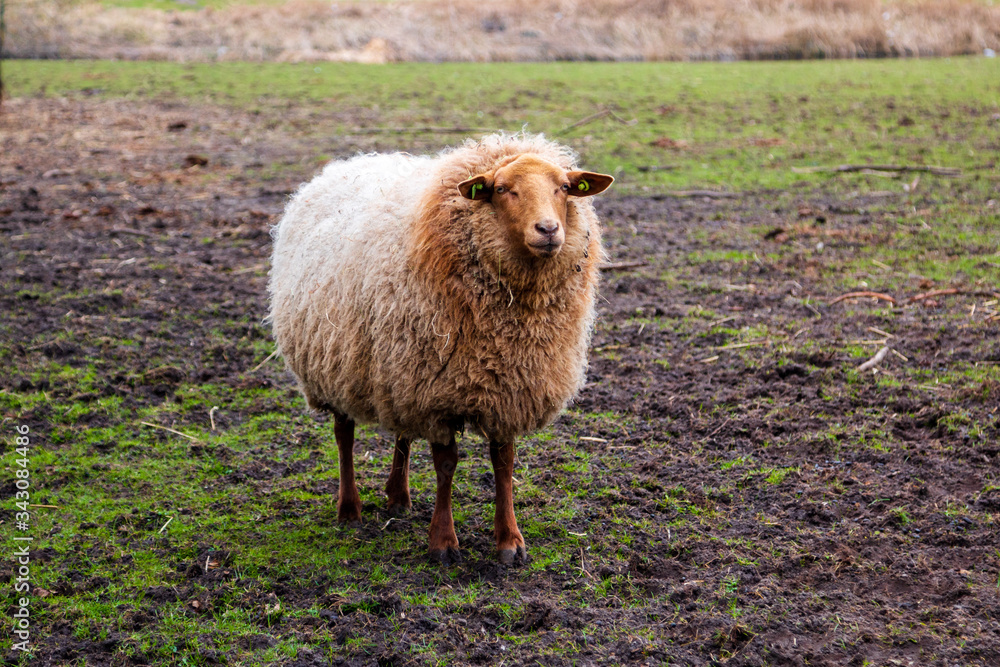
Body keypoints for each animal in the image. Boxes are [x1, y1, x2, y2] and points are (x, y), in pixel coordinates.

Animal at [268, 133, 608, 568]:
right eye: (502, 190)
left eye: (564, 187)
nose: (548, 230)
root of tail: (344, 165)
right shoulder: (438, 395)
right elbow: (446, 466)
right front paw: (443, 542)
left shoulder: (504, 389)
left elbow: (504, 463)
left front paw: (510, 541)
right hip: (335, 365)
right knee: (343, 435)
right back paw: (349, 509)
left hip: (397, 369)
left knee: (402, 433)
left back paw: (398, 496)